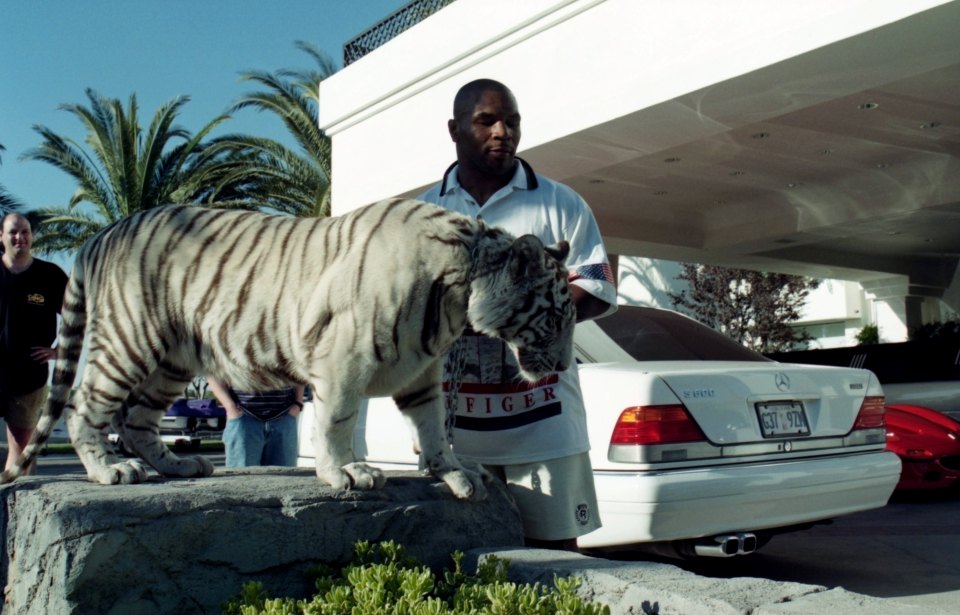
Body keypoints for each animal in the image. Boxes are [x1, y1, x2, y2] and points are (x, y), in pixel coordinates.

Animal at [0, 199, 572, 500]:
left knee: (138, 420)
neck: (460, 292)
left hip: (173, 359)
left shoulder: (421, 372)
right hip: (129, 341)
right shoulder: (344, 360)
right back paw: (109, 471)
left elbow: (433, 425)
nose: (566, 362)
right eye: (555, 319)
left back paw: (179, 466)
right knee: (85, 408)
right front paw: (346, 473)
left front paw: (454, 471)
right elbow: (337, 422)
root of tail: (100, 235)